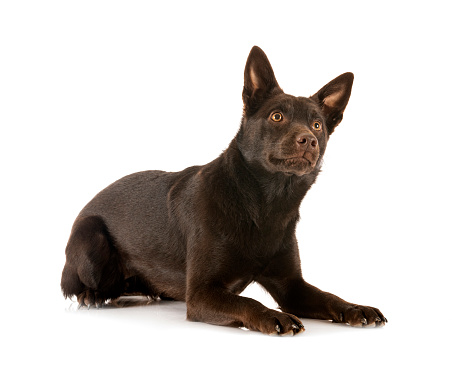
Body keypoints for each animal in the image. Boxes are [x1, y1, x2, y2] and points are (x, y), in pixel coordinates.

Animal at [61, 47, 388, 334]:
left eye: (317, 124)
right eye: (277, 116)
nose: (309, 140)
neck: (267, 204)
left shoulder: (292, 287)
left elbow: (330, 297)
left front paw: (356, 307)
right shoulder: (201, 293)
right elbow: (247, 301)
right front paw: (272, 317)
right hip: (91, 240)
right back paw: (92, 295)